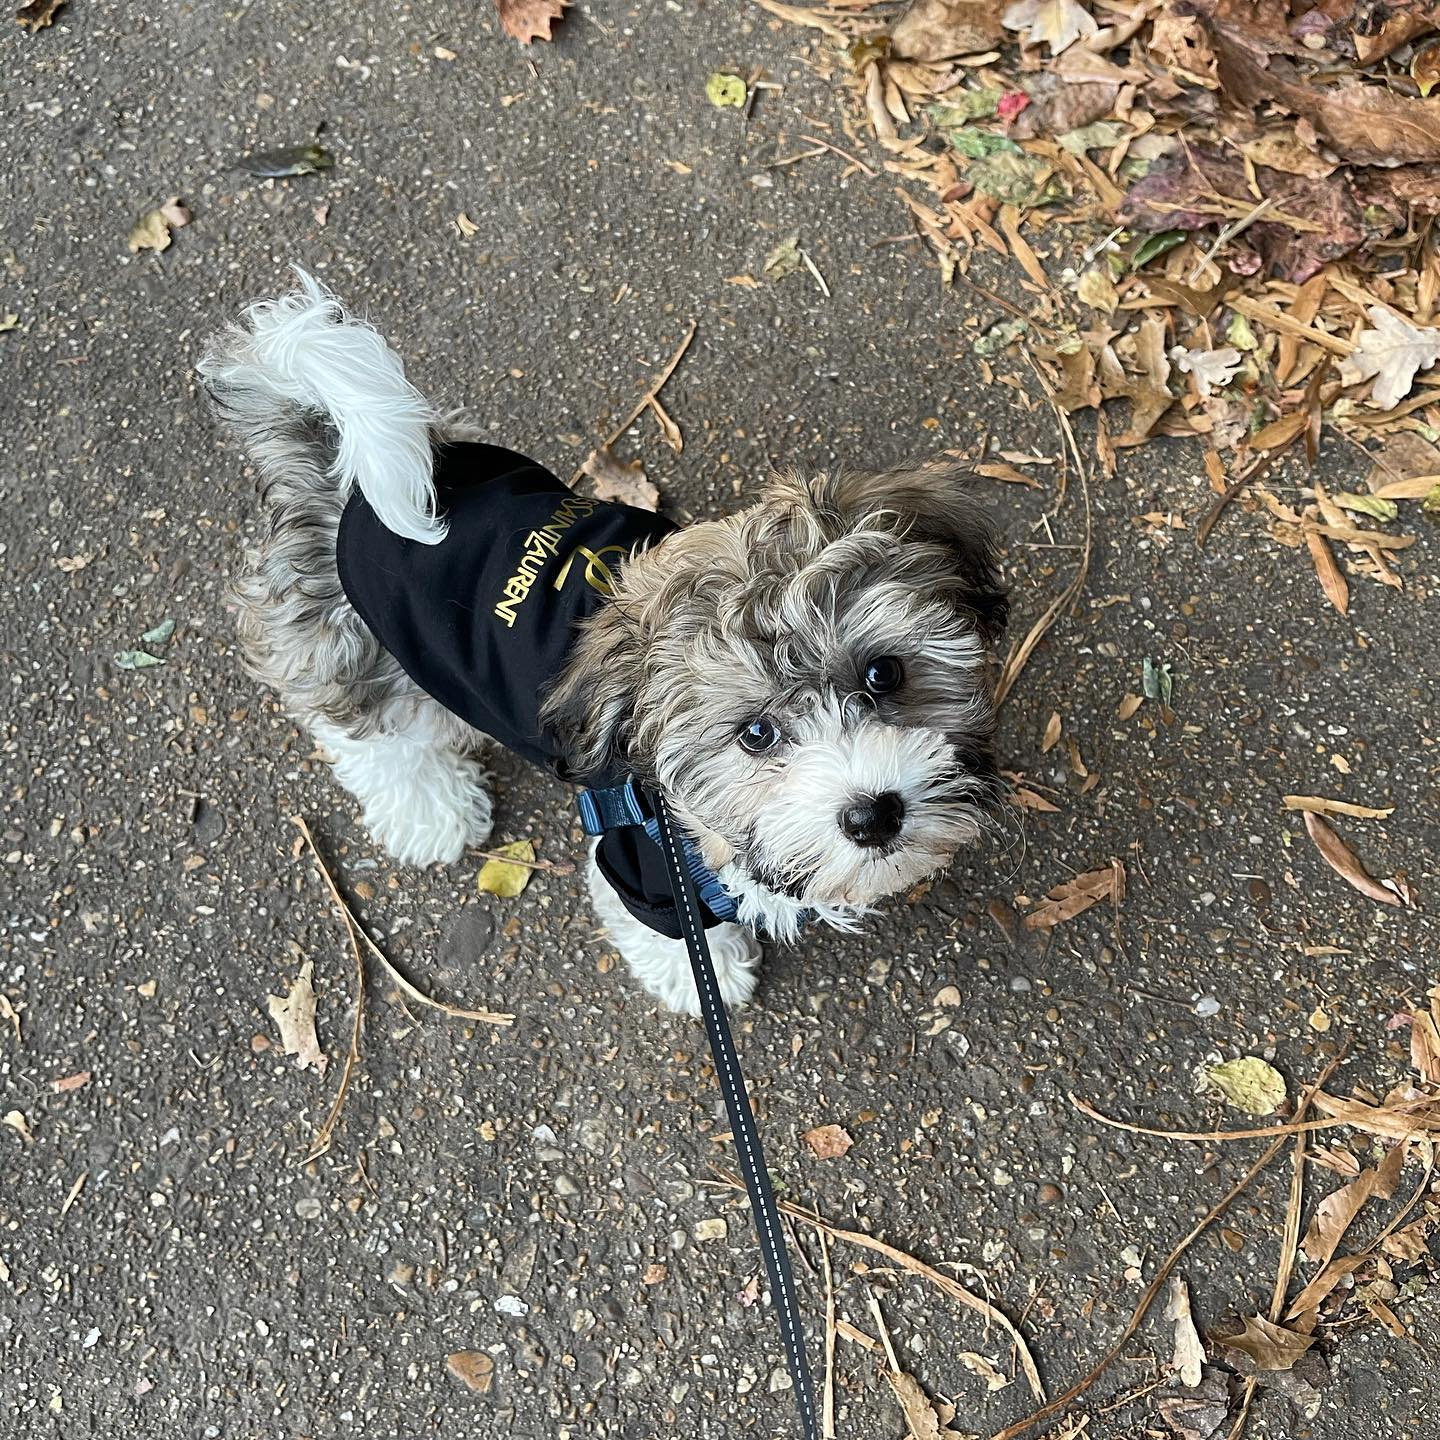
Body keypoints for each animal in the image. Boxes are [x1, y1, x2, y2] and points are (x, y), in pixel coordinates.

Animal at [200, 272, 1013, 1013]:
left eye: (885, 674)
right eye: (755, 734)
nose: (873, 815)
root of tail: (346, 486)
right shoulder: (641, 858)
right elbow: (675, 933)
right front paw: (702, 976)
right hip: (360, 652)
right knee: (372, 736)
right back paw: (431, 811)